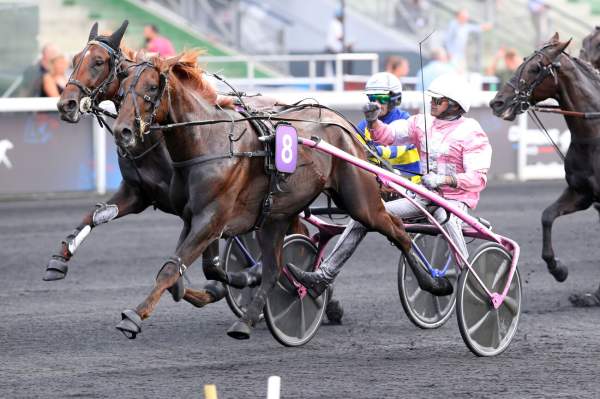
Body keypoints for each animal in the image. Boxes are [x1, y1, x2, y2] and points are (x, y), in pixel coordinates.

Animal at [111, 51, 450, 340]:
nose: (122, 131)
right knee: (275, 268)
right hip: (277, 215)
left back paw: (434, 282)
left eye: (151, 88)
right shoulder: (193, 217)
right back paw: (250, 318)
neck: (210, 141)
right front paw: (219, 288)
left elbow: (174, 268)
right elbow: (190, 268)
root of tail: (343, 124)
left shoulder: (211, 219)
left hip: (360, 200)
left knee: (398, 230)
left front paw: (134, 316)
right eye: (123, 87)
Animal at [490, 34, 600, 308]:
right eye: (522, 61)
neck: (593, 138)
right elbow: (547, 216)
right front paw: (558, 269)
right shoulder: (581, 193)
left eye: (536, 68)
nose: (497, 102)